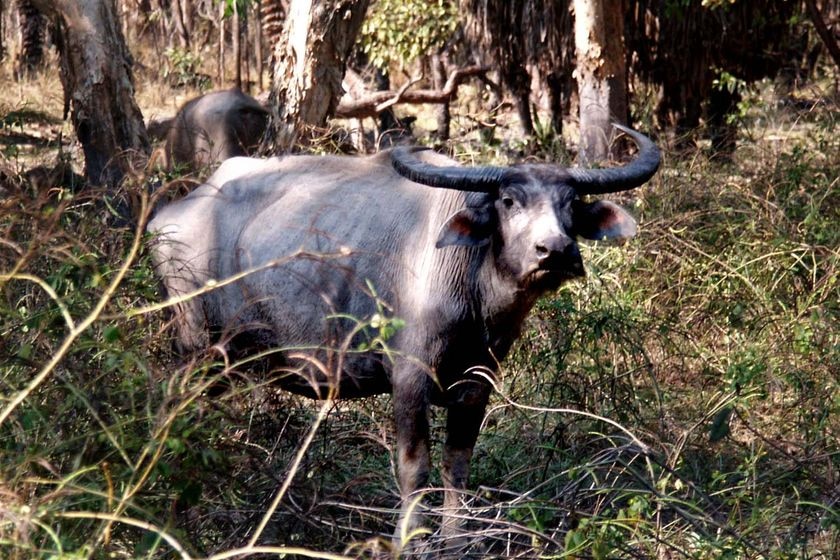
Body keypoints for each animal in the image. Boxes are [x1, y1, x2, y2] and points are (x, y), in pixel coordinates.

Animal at [149, 126, 664, 544]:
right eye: (508, 200)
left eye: (570, 203)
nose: (554, 250)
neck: (471, 286)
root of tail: (170, 214)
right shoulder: (409, 379)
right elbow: (414, 468)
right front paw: (411, 541)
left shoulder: (475, 385)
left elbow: (457, 465)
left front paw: (457, 542)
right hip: (194, 347)